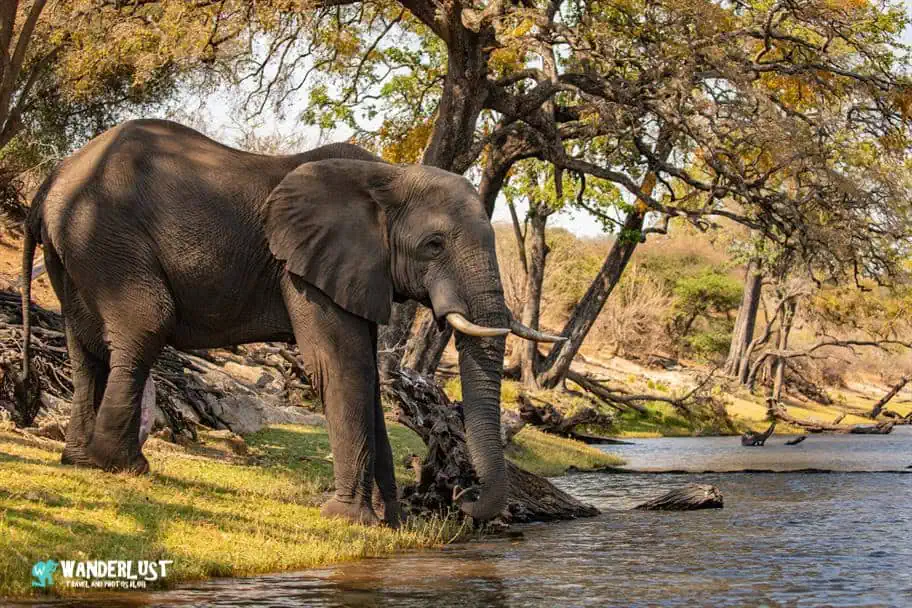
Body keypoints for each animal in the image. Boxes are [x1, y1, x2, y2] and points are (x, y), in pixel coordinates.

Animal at [19, 119, 561, 525]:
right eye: (434, 245)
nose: (461, 500)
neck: (388, 178)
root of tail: (53, 178)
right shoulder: (303, 272)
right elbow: (342, 369)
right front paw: (349, 520)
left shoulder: (355, 271)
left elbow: (365, 374)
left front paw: (391, 522)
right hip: (107, 236)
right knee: (145, 325)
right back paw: (124, 466)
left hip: (75, 248)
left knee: (84, 345)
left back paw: (79, 460)